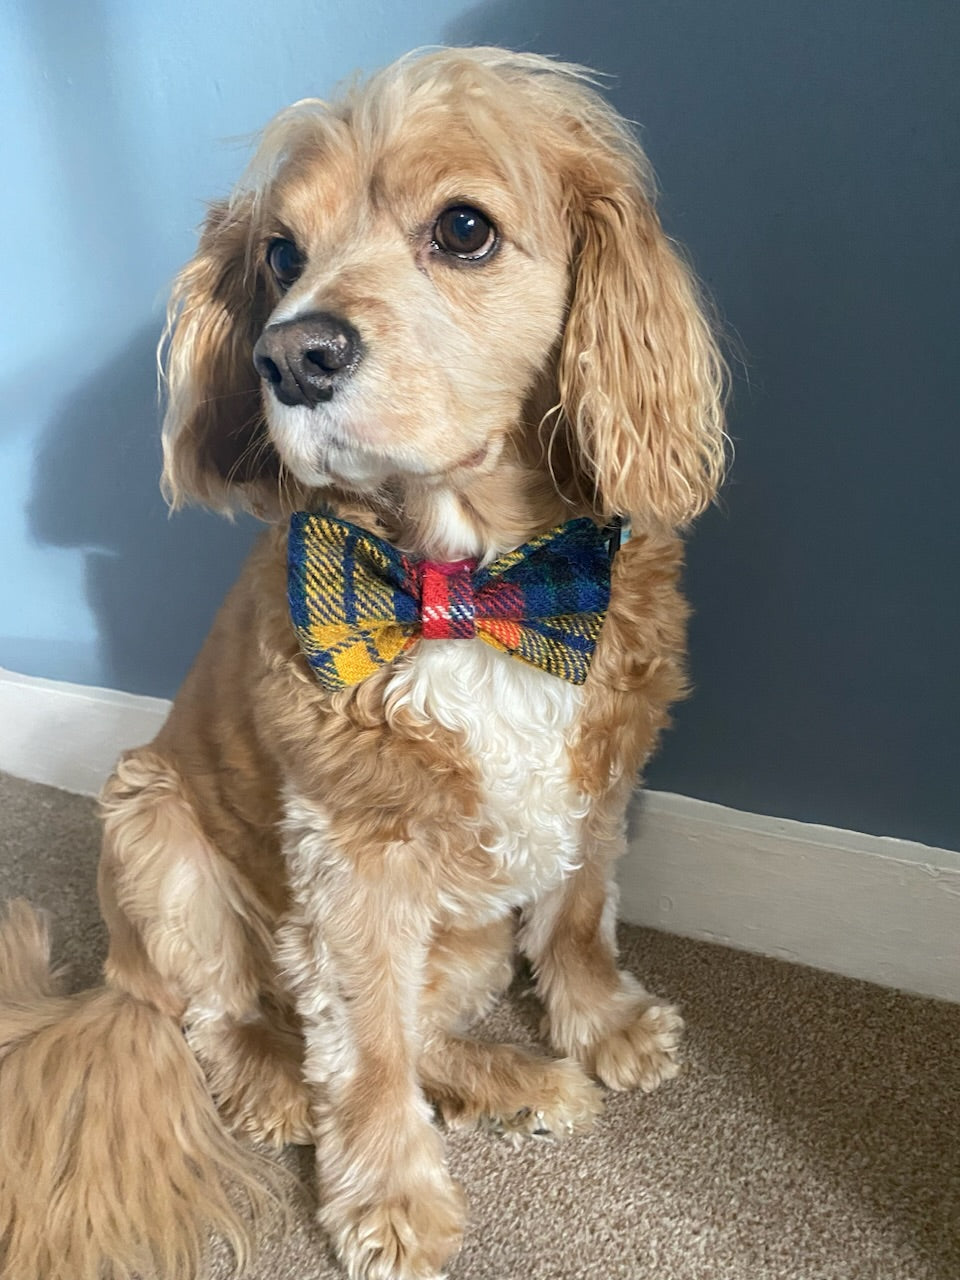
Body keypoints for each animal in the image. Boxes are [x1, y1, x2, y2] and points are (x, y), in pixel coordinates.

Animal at [0, 47, 721, 1280]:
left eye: (466, 229)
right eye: (280, 254)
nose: (290, 352)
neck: (465, 587)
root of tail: (106, 981)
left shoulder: (601, 770)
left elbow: (578, 911)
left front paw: (604, 1022)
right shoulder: (351, 852)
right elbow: (368, 1044)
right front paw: (389, 1194)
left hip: (459, 933)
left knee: (422, 1020)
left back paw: (515, 1076)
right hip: (152, 826)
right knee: (225, 1017)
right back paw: (280, 1083)